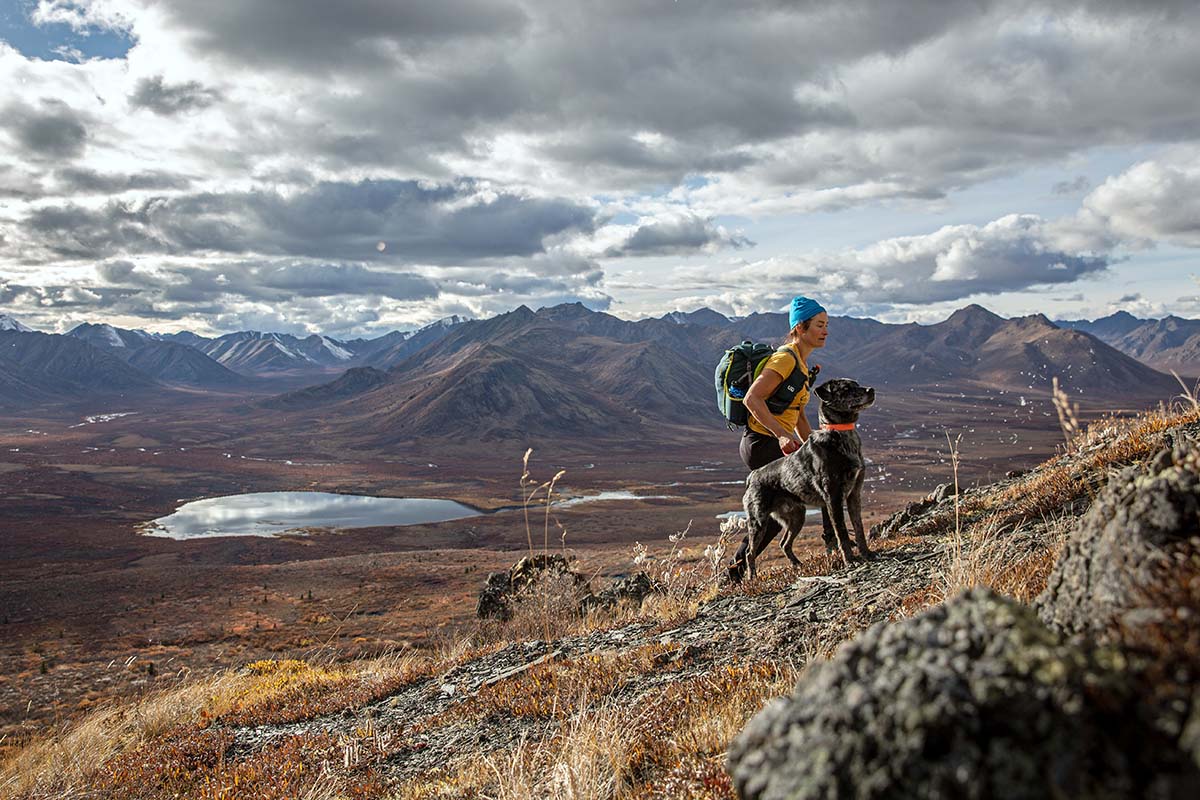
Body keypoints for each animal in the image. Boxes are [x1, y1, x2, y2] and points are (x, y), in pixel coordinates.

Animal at [724, 376, 878, 582]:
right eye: (845, 389)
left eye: (857, 384)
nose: (871, 390)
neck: (841, 434)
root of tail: (753, 476)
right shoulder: (833, 497)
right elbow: (842, 531)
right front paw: (850, 560)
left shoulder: (854, 494)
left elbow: (859, 527)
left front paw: (866, 553)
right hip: (759, 521)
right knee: (750, 552)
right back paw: (751, 578)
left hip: (797, 517)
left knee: (784, 543)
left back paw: (798, 565)